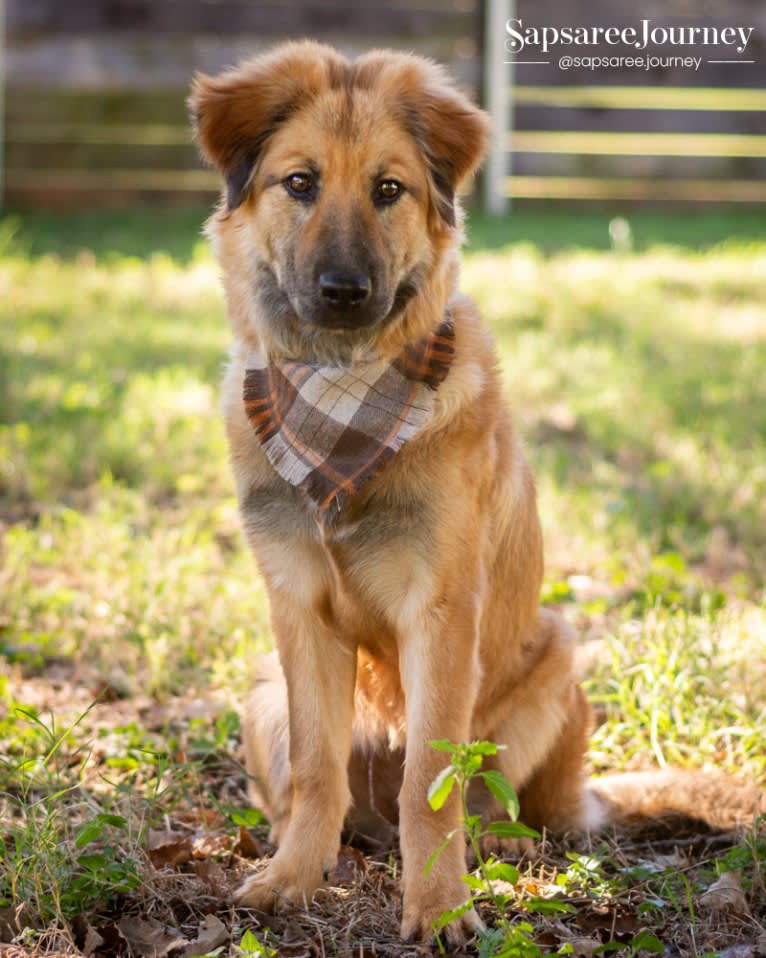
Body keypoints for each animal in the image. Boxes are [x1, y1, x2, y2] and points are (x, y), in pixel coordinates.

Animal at [189, 43, 760, 944]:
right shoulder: (299, 608)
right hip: (261, 695)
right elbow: (317, 769)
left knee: (503, 804)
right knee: (330, 793)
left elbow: (433, 778)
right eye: (300, 183)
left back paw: (502, 847)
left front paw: (438, 905)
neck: (341, 401)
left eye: (389, 189)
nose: (344, 290)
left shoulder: (442, 609)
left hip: (552, 663)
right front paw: (291, 879)